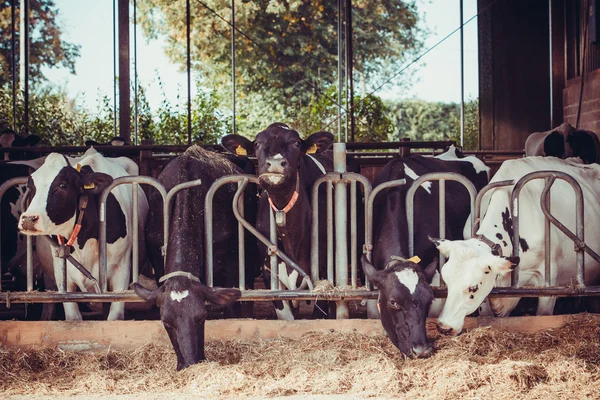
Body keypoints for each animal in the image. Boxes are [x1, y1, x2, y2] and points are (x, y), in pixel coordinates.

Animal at [17, 148, 149, 320]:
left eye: (62, 185)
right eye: (31, 187)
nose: (28, 219)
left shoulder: (122, 270)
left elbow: (115, 317)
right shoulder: (62, 275)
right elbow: (73, 318)